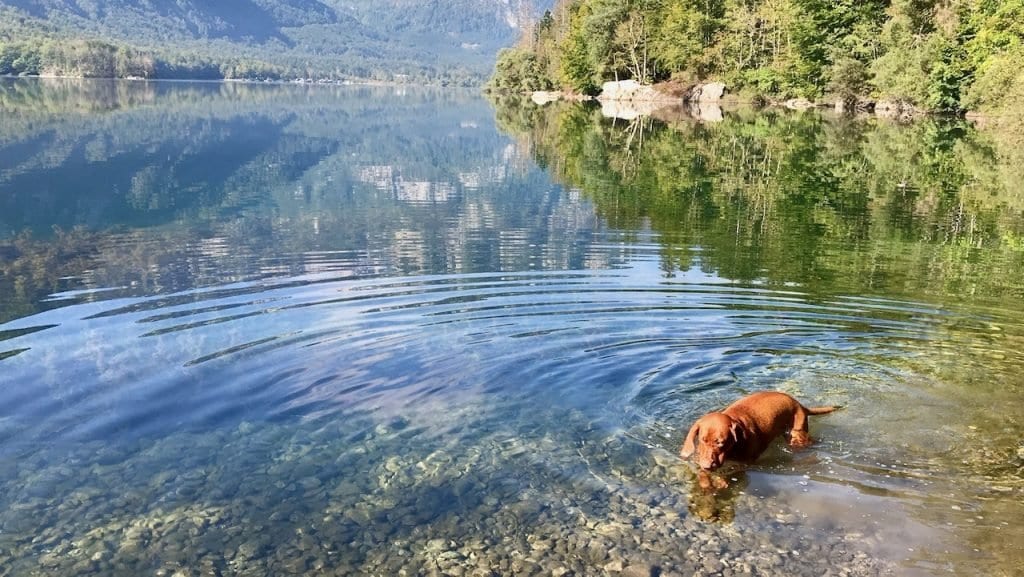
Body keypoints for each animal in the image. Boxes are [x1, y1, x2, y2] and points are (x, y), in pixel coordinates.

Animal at [675, 391, 835, 471]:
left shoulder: (744, 464)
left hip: (797, 435)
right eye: (702, 440)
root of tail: (800, 404)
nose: (707, 466)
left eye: (721, 443)